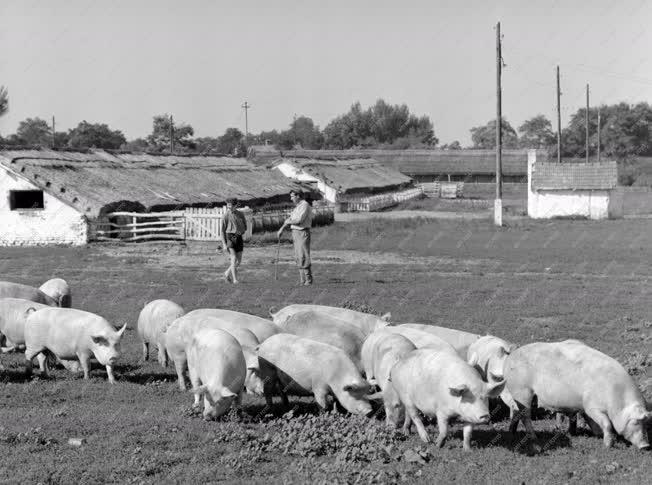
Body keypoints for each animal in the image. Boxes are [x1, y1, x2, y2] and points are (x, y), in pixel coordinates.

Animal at [504, 338, 652, 448]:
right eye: (636, 422)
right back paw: (534, 437)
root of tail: (510, 357)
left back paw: (512, 433)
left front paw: (594, 434)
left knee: (515, 411)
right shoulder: (591, 406)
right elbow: (606, 423)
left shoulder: (582, 406)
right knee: (525, 415)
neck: (615, 398)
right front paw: (608, 445)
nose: (646, 446)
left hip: (518, 395)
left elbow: (587, 421)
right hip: (523, 391)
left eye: (646, 422)